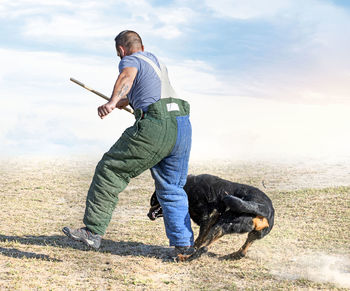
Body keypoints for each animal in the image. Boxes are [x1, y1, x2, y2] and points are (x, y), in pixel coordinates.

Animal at [146, 173, 274, 262]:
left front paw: (190, 250)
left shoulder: (208, 219)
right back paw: (232, 255)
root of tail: (264, 208)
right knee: (243, 251)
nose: (148, 214)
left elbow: (198, 241)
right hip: (254, 234)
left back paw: (185, 257)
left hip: (221, 225)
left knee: (204, 248)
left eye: (152, 200)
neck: (187, 189)